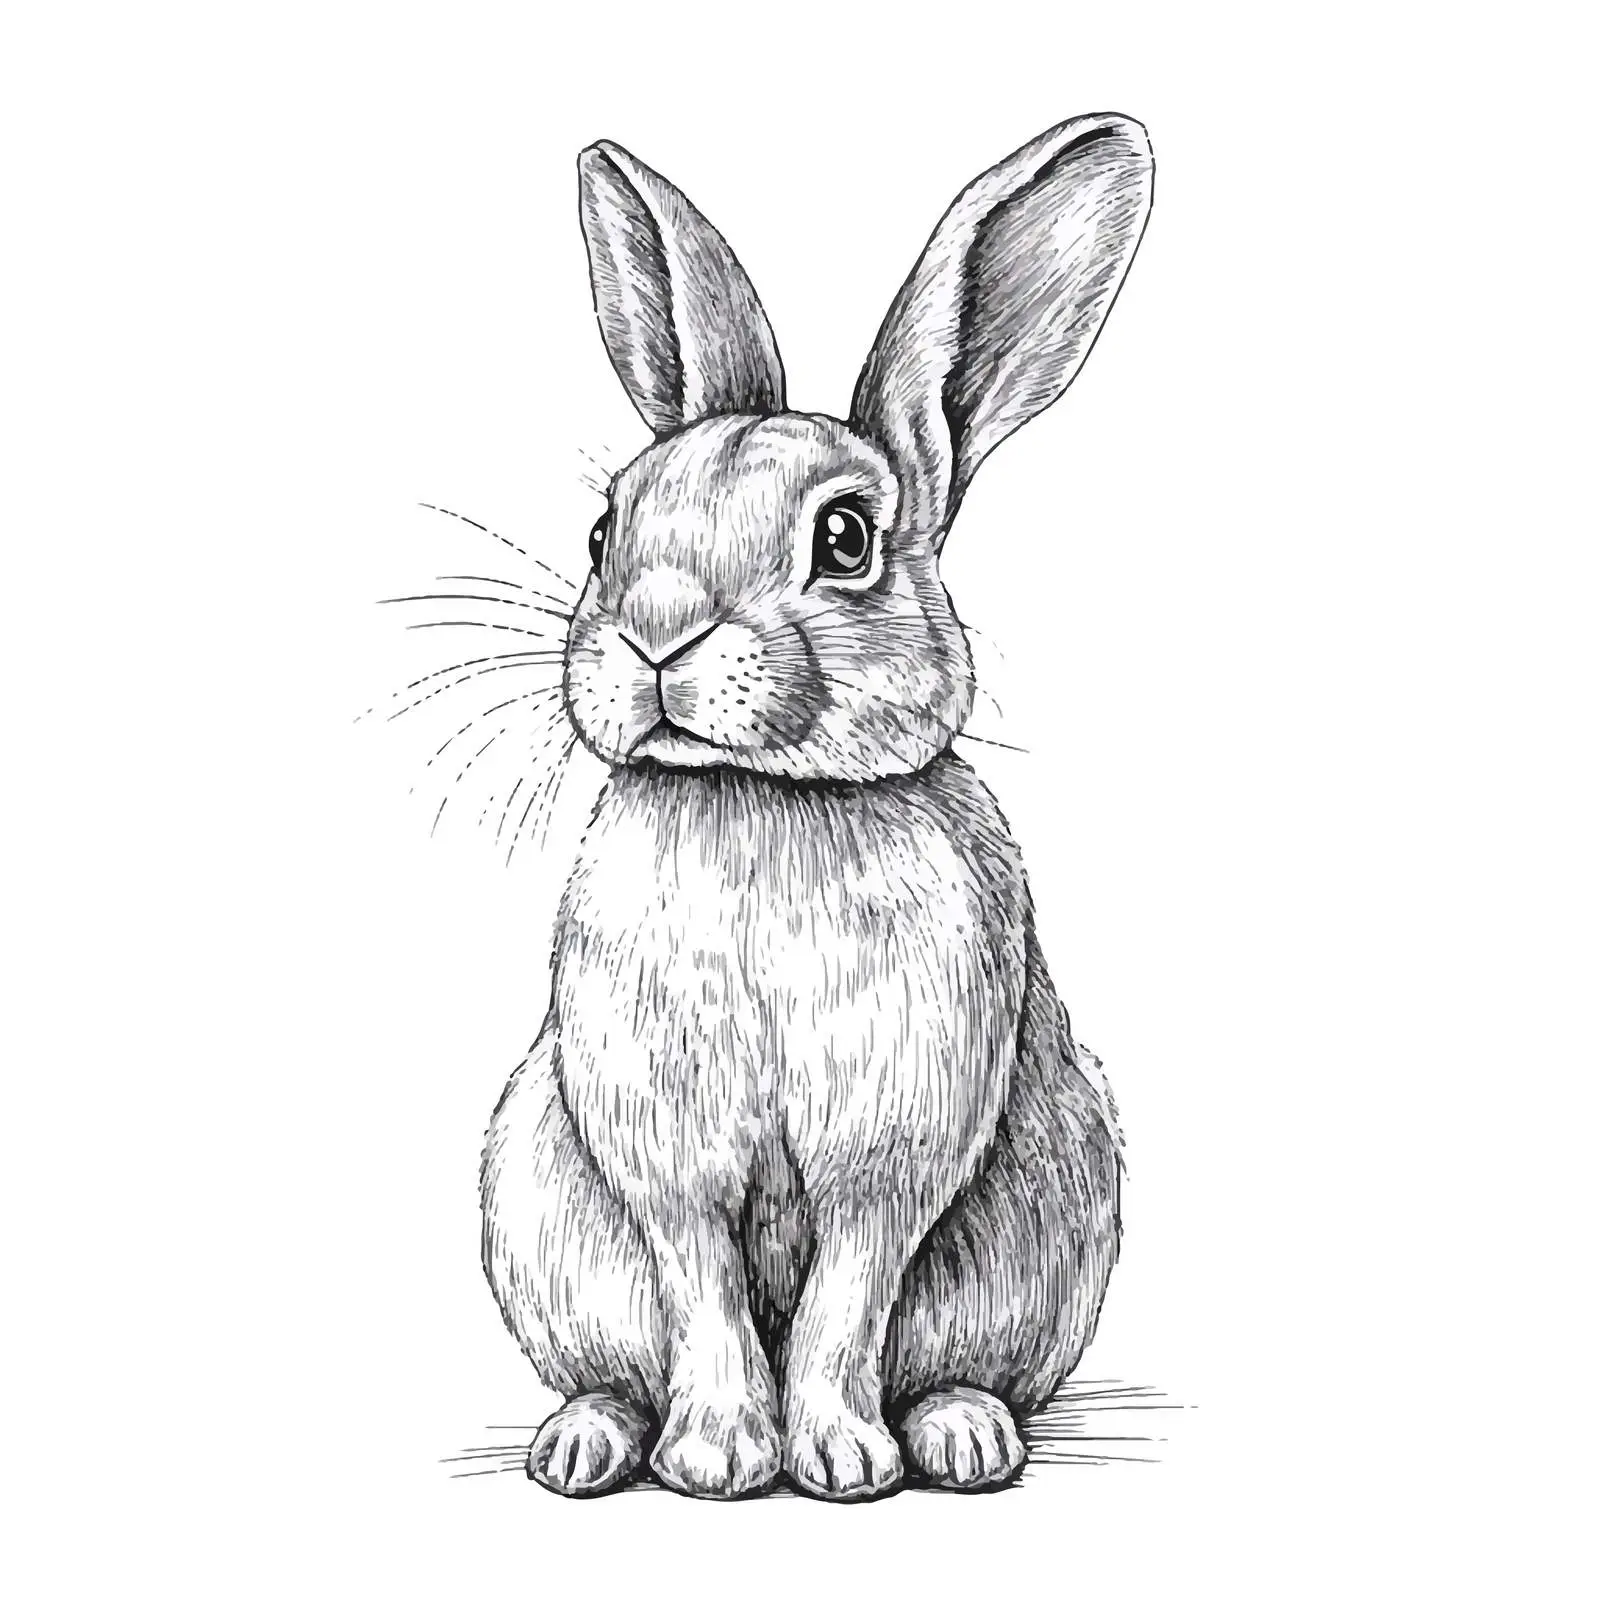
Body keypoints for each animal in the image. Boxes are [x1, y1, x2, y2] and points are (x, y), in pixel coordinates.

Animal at [480, 112, 1153, 1501]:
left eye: (844, 539)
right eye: (602, 533)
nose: (655, 636)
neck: (762, 800)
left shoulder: (895, 1145)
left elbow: (848, 1291)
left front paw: (839, 1458)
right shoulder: (665, 1148)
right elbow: (702, 1283)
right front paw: (721, 1458)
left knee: (957, 1366)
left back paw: (959, 1435)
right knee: (612, 1369)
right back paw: (583, 1442)